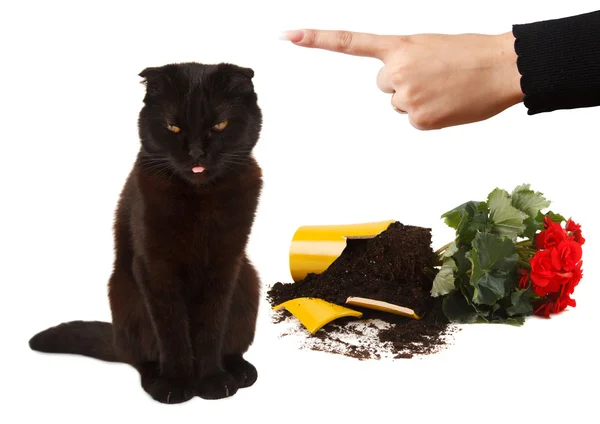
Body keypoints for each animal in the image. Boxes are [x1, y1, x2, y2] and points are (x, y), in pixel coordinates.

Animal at [28, 61, 262, 402]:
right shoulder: (154, 267)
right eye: (173, 127)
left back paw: (240, 371)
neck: (199, 198)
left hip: (248, 281)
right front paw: (176, 384)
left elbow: (211, 326)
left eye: (220, 125)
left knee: (232, 343)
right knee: (141, 356)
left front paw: (212, 381)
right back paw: (156, 378)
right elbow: (171, 330)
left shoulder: (225, 264)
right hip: (125, 293)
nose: (196, 153)